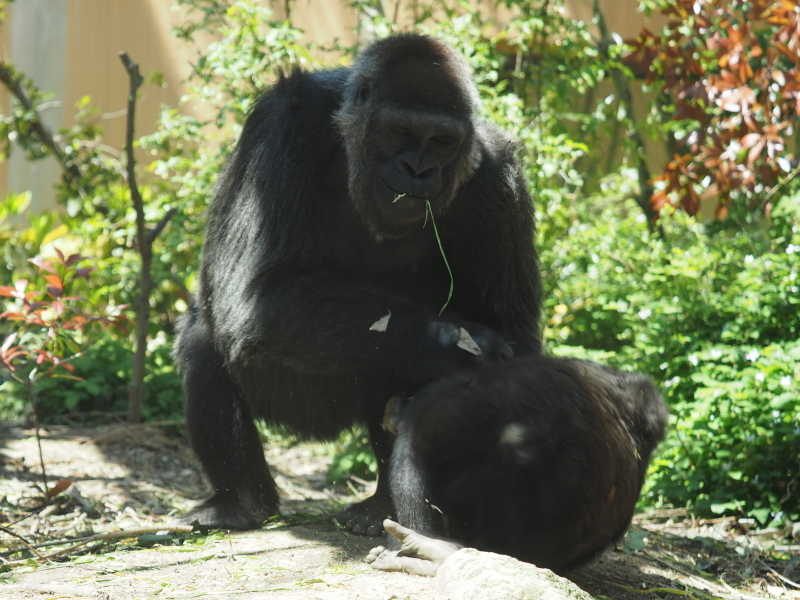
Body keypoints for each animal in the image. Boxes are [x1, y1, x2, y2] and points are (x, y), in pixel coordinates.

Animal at [172, 32, 540, 532]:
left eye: (443, 141)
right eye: (400, 131)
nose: (418, 171)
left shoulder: (499, 177)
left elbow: (515, 331)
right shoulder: (283, 124)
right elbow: (257, 297)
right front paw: (454, 343)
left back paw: (382, 506)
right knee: (206, 340)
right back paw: (240, 503)